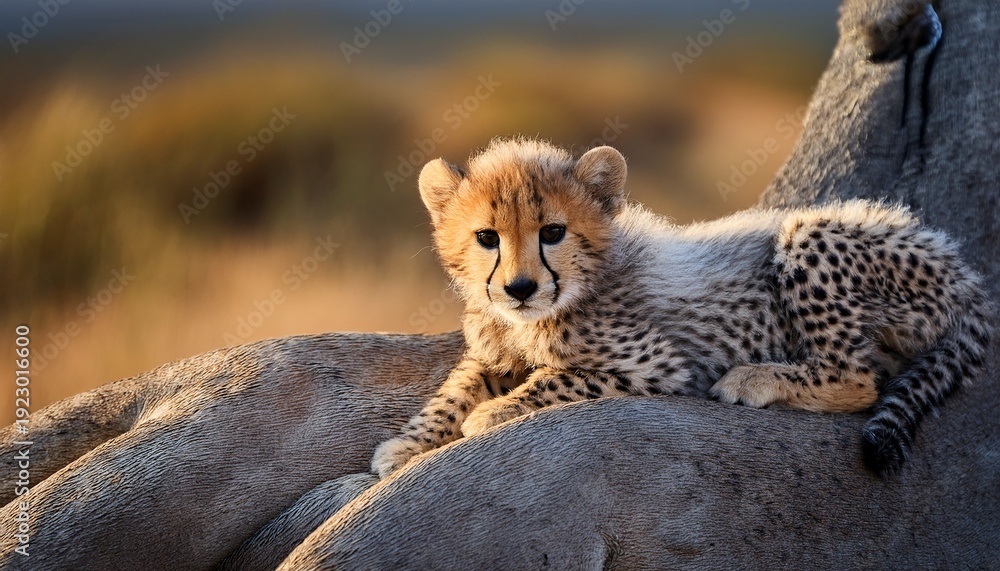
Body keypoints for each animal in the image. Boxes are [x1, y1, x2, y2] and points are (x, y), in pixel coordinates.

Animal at [371, 137, 992, 479]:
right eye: (486, 238)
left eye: (552, 232)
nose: (520, 288)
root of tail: (959, 265)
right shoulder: (492, 348)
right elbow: (457, 385)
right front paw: (409, 442)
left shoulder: (659, 365)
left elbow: (556, 377)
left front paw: (493, 413)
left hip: (808, 232)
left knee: (860, 379)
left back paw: (756, 377)